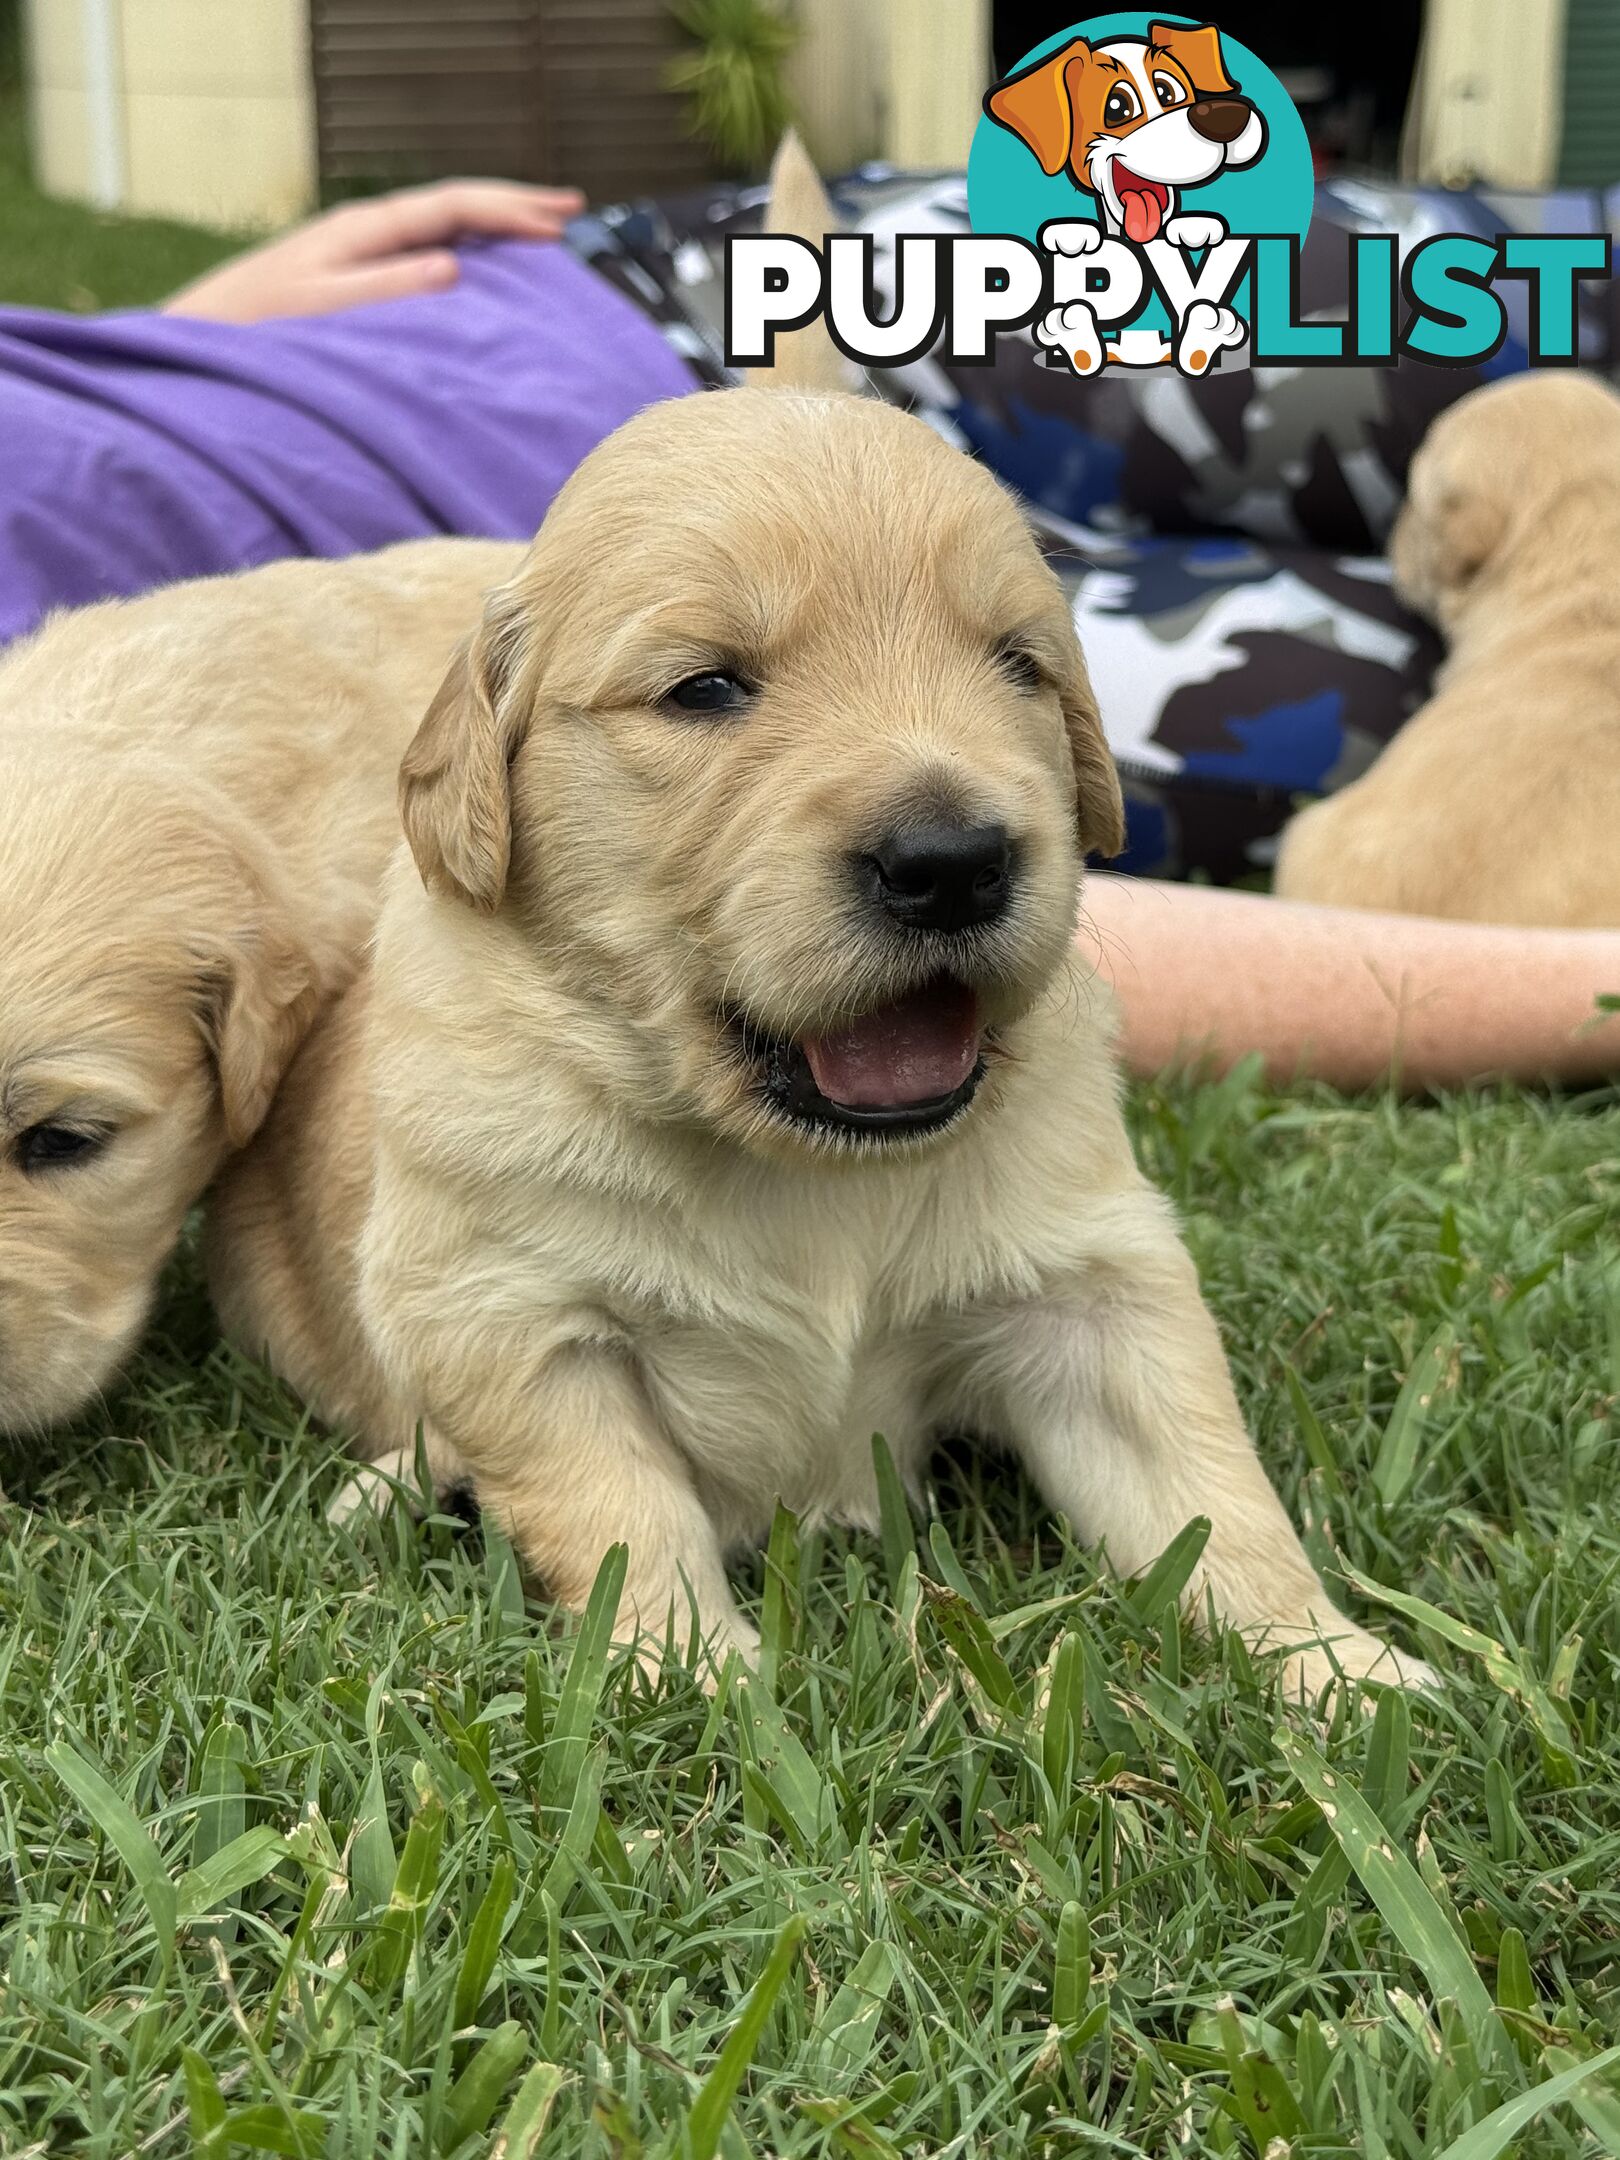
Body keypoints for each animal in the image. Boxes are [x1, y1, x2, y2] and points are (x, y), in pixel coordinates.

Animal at [212, 143, 1434, 1710]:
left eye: (1020, 667)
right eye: (706, 690)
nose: (954, 863)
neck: (802, 1170)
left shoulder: (1096, 1284)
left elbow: (1212, 1494)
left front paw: (1340, 1670)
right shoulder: (509, 1319)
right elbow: (620, 1506)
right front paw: (694, 1676)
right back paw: (381, 1489)